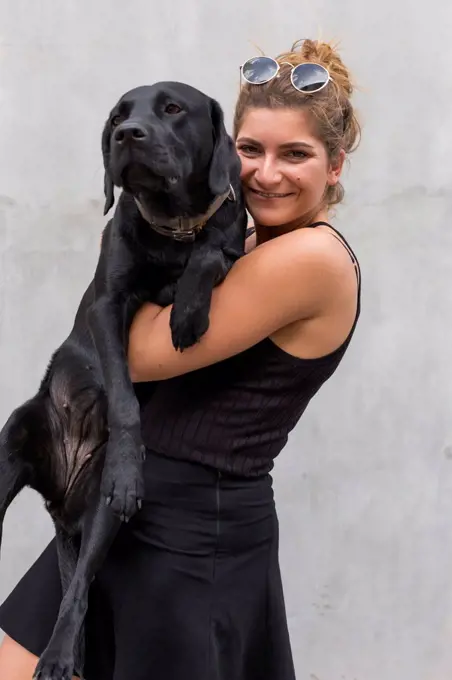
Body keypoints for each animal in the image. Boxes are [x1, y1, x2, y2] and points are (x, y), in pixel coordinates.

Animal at [0, 83, 247, 680]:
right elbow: (125, 402)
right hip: (12, 443)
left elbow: (212, 254)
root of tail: (62, 497)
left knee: (81, 588)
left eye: (173, 109)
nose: (126, 136)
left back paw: (62, 655)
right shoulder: (108, 307)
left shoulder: (231, 244)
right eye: (117, 117)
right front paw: (129, 469)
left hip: (100, 517)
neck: (173, 226)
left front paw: (188, 310)